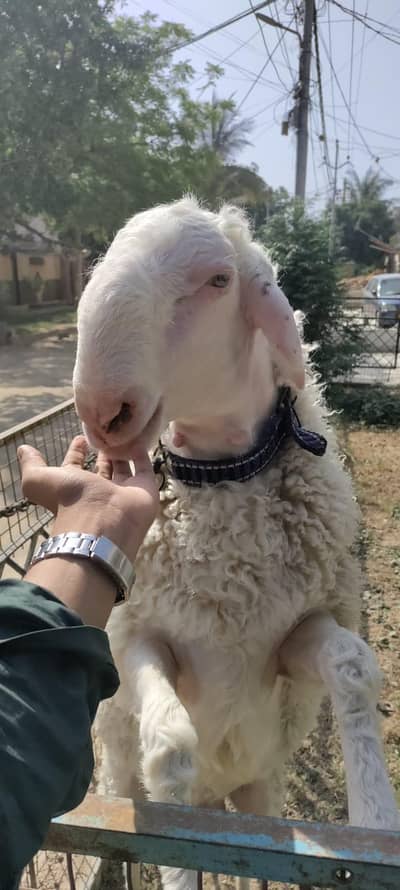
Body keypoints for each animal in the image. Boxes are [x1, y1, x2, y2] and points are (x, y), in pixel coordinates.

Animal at [73, 197, 399, 890]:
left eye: (219, 281)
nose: (102, 410)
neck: (220, 480)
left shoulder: (295, 634)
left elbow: (353, 666)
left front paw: (375, 819)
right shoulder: (135, 636)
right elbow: (170, 749)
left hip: (259, 790)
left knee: (252, 854)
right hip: (119, 774)